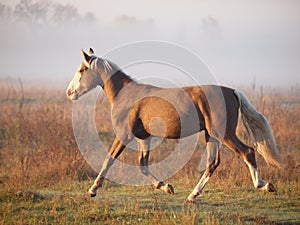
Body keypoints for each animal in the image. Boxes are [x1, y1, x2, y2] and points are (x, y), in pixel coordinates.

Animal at [66, 47, 282, 202]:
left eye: (82, 70)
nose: (69, 93)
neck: (126, 95)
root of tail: (232, 91)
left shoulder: (124, 135)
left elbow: (108, 160)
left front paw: (92, 190)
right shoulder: (144, 137)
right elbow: (143, 165)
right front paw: (166, 187)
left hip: (225, 134)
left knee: (247, 152)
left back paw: (264, 185)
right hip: (211, 135)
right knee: (213, 163)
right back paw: (193, 195)